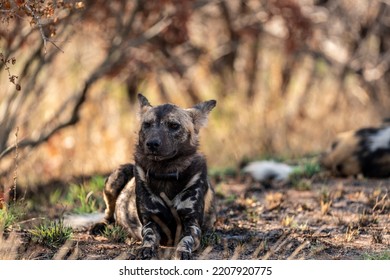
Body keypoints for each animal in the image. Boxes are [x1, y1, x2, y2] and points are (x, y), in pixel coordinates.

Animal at [93, 93, 218, 260]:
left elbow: (187, 239)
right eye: (147, 124)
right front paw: (146, 248)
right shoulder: (150, 221)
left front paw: (183, 250)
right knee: (108, 214)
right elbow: (149, 235)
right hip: (116, 178)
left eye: (174, 125)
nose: (152, 143)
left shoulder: (192, 224)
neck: (165, 173)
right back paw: (101, 226)